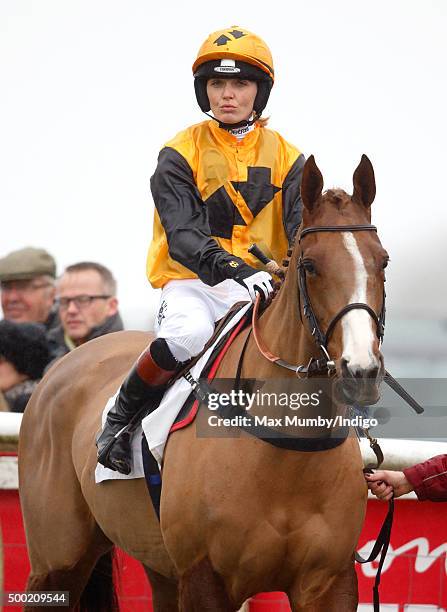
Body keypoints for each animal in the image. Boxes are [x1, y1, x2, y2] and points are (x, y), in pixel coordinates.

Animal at [19, 155, 388, 608]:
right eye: (310, 265)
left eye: (383, 261)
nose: (361, 369)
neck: (286, 449)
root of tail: (60, 367)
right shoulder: (202, 576)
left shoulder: (331, 582)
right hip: (56, 562)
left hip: (157, 566)